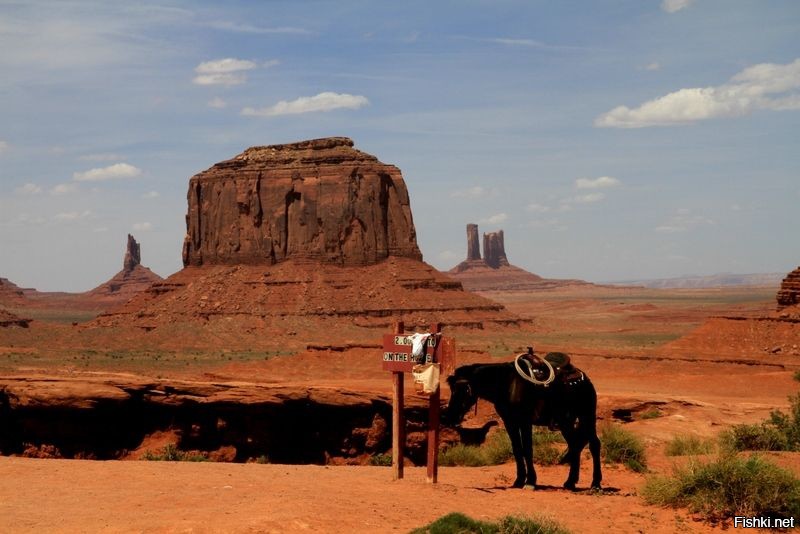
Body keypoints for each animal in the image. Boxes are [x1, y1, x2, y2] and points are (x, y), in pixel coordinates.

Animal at [444, 354, 600, 492]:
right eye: (451, 390)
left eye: (465, 389)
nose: (449, 417)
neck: (508, 385)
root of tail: (583, 376)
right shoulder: (510, 421)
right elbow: (517, 449)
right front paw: (519, 480)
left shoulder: (525, 421)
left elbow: (527, 449)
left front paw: (530, 481)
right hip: (566, 422)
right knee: (575, 444)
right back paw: (570, 482)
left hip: (587, 416)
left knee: (594, 444)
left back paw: (596, 484)